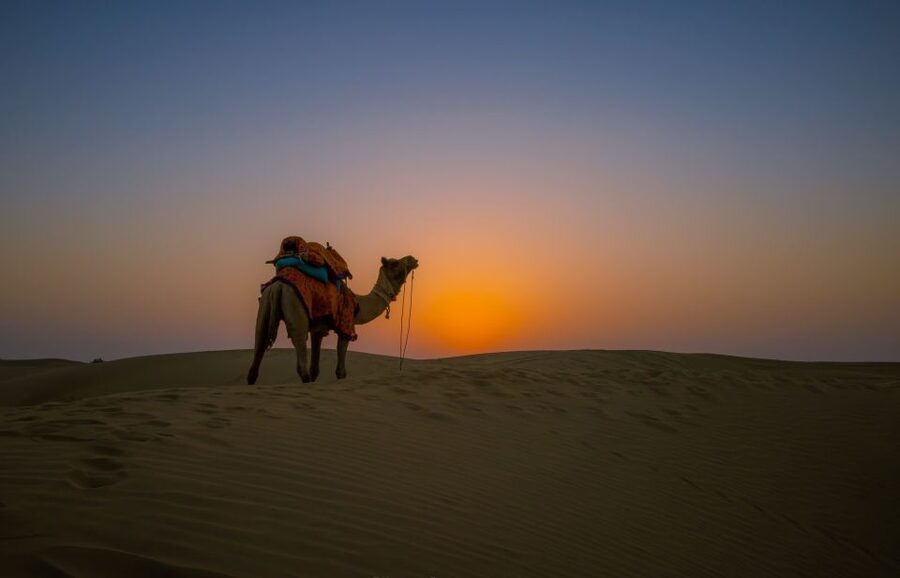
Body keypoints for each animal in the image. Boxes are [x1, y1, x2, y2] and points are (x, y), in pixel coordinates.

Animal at [246, 255, 418, 385]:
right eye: (395, 263)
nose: (412, 258)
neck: (358, 304)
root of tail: (278, 286)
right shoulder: (346, 326)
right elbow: (340, 371)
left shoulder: (318, 329)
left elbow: (315, 369)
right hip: (296, 311)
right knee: (301, 361)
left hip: (265, 304)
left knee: (257, 351)